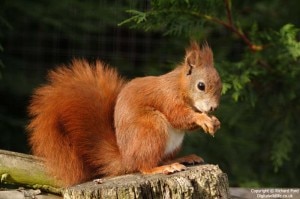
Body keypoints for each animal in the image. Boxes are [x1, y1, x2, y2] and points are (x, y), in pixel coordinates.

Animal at [27, 41, 221, 186]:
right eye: (201, 86)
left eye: (220, 85)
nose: (212, 108)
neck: (180, 85)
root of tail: (125, 158)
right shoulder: (168, 98)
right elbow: (178, 116)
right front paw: (202, 118)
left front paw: (215, 121)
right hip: (152, 128)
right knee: (144, 165)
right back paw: (163, 168)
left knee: (158, 159)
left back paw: (183, 158)